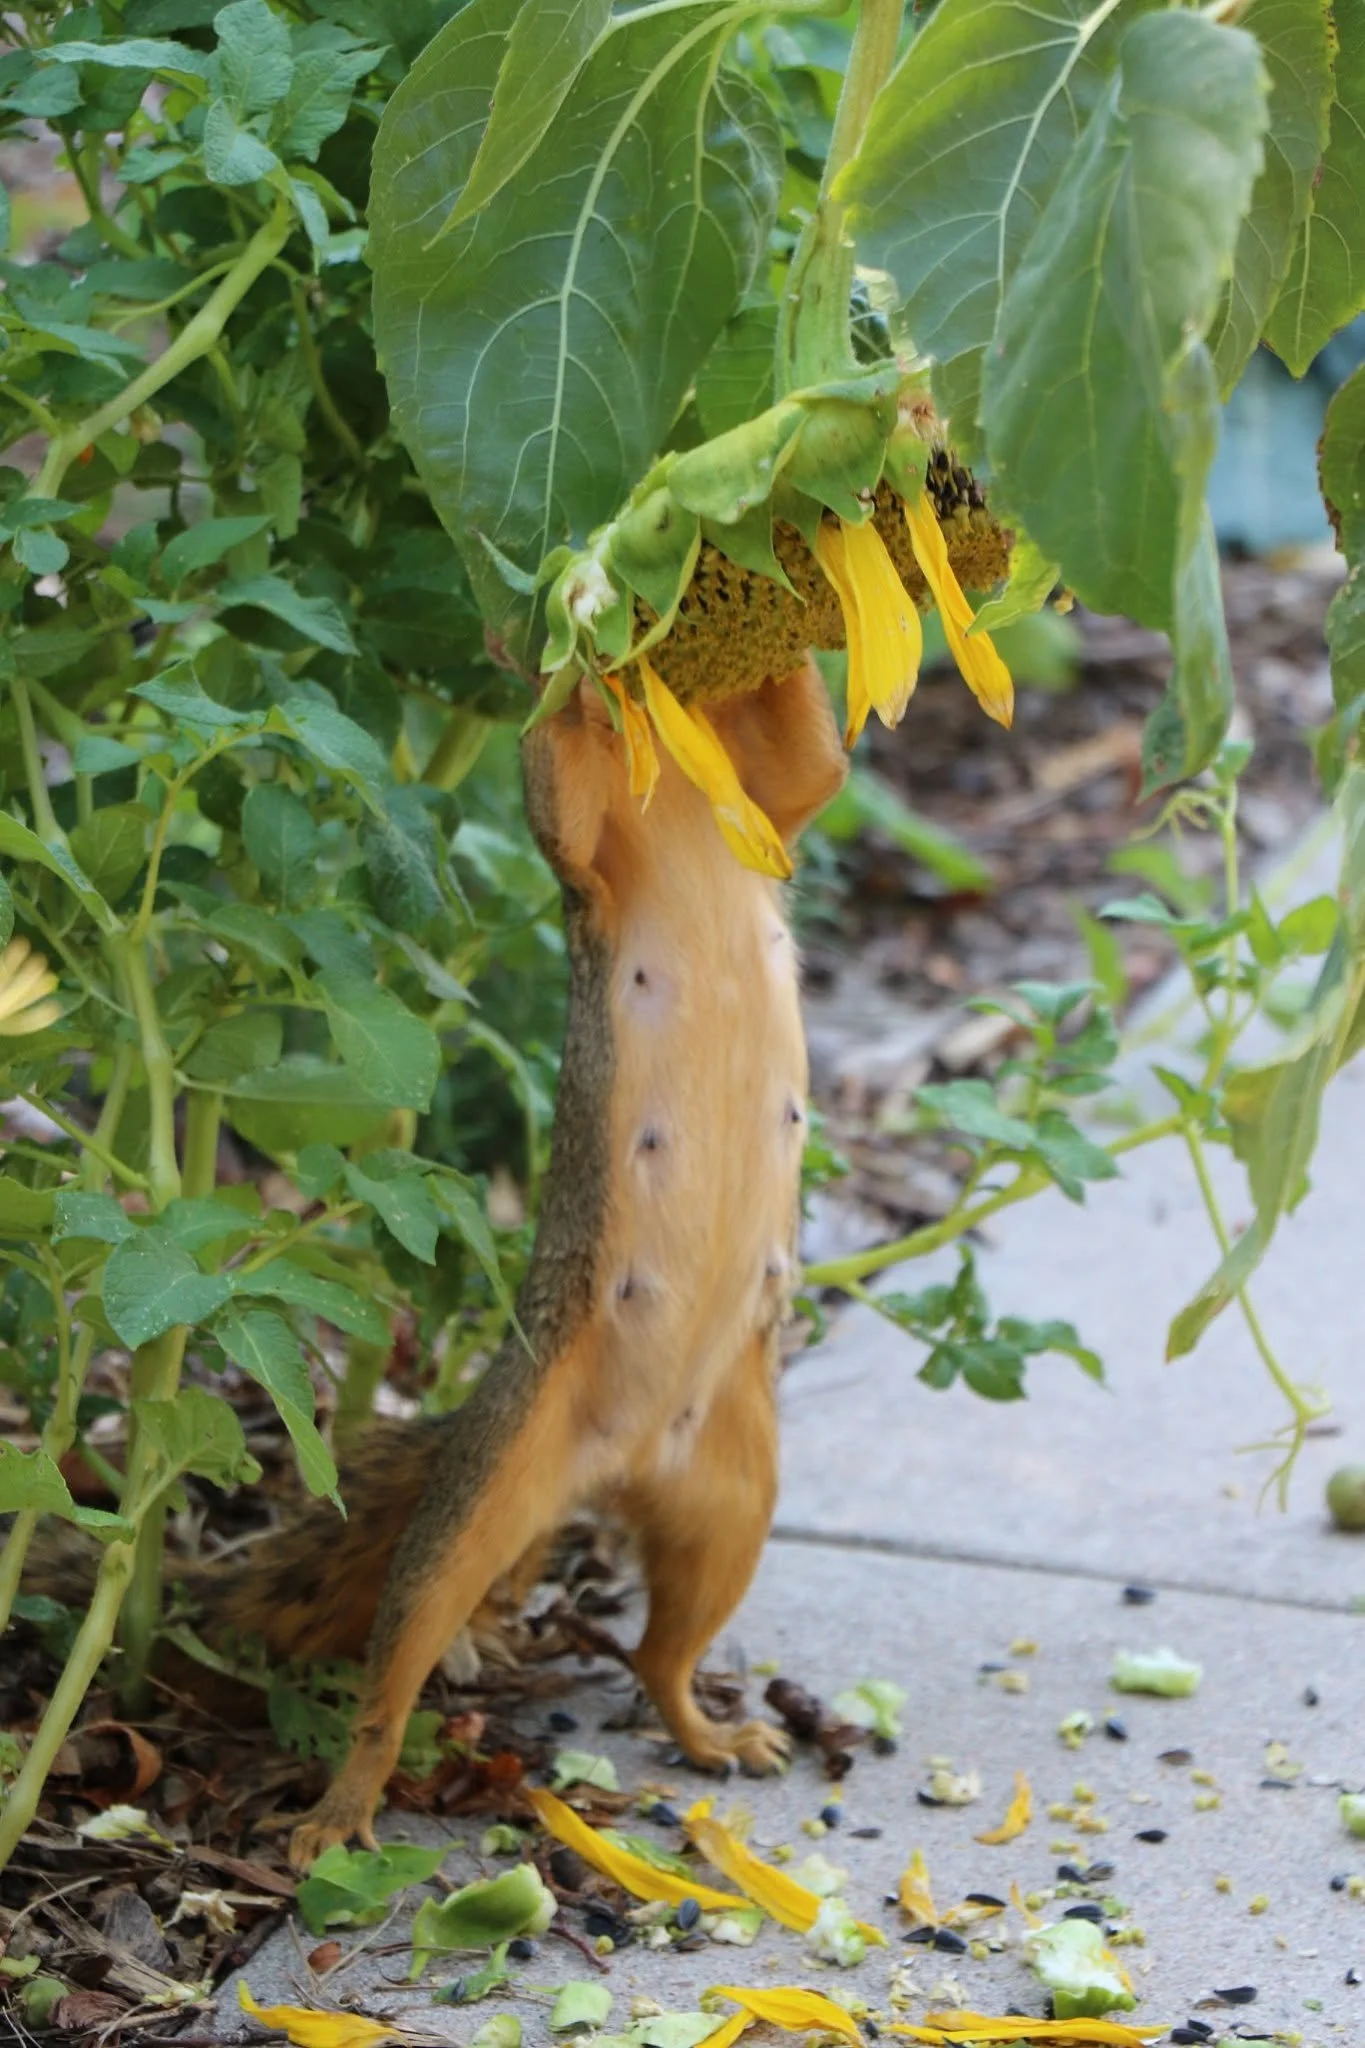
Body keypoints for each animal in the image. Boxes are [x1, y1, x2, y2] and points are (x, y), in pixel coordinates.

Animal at [23, 659, 848, 1869]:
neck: (683, 801)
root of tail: (617, 1466)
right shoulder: (595, 877)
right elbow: (562, 805)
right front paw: (586, 668)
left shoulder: (766, 817)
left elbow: (808, 768)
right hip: (494, 1488)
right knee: (403, 1655)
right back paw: (339, 1808)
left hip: (730, 1496)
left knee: (662, 1650)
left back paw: (709, 1730)